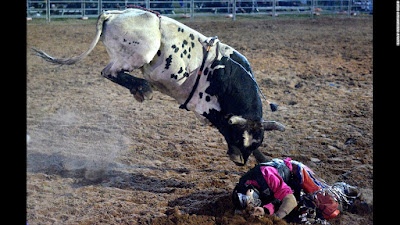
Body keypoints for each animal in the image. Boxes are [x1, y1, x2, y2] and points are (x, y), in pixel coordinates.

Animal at [33, 8, 284, 166]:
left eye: (256, 141)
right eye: (238, 136)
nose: (240, 161)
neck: (224, 74)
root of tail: (115, 13)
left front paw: (265, 160)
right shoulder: (207, 108)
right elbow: (221, 122)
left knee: (110, 72)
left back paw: (139, 88)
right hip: (142, 52)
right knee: (109, 72)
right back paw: (142, 87)